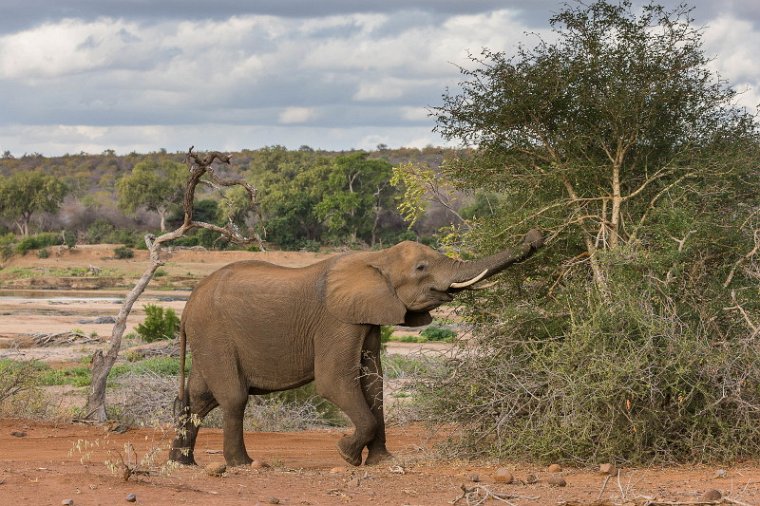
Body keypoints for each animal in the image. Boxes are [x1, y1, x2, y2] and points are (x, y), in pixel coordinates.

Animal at [169, 229, 544, 466]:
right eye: (421, 268)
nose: (535, 236)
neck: (375, 258)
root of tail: (187, 307)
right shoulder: (337, 320)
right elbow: (334, 382)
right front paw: (345, 456)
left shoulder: (369, 317)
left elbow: (373, 382)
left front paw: (382, 462)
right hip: (214, 333)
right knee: (233, 397)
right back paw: (242, 464)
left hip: (208, 337)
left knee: (199, 398)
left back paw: (182, 463)